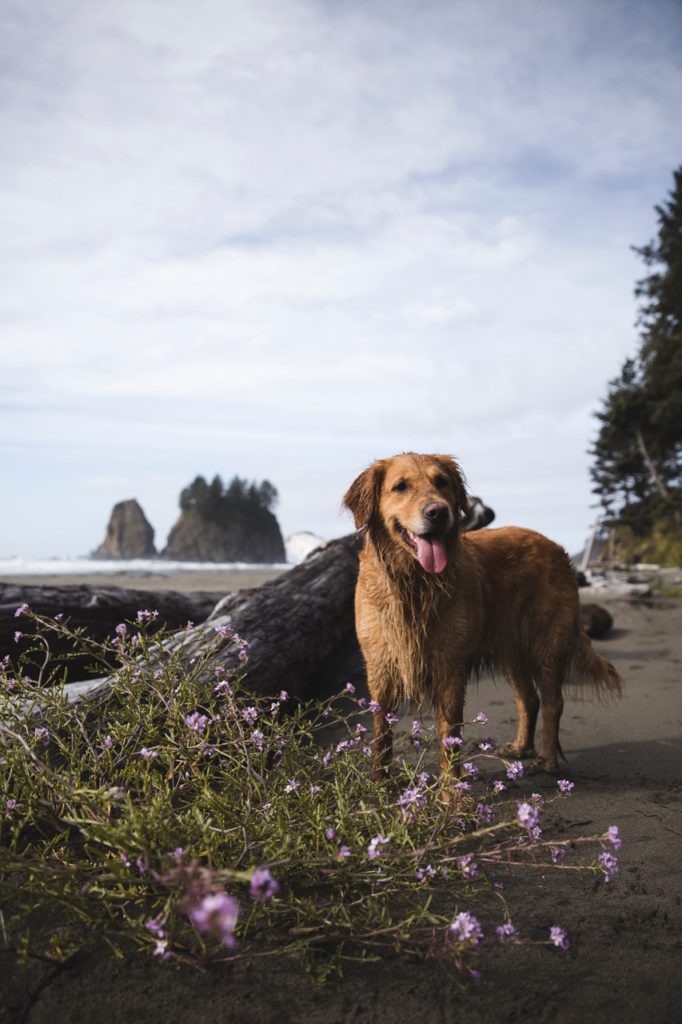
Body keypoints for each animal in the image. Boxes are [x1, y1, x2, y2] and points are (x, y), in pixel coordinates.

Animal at [342, 450, 618, 782]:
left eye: (441, 482)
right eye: (401, 486)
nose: (438, 511)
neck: (414, 583)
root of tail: (555, 546)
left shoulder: (450, 666)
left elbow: (450, 736)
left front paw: (451, 788)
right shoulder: (380, 667)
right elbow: (382, 731)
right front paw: (379, 781)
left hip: (546, 645)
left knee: (553, 701)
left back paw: (547, 760)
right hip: (511, 651)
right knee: (529, 699)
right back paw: (520, 747)